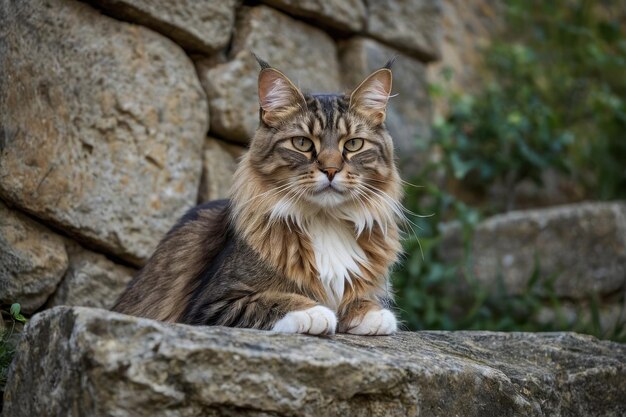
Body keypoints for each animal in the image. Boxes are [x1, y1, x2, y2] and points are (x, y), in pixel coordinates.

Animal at [111, 56, 404, 334]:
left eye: (353, 145)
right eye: (302, 143)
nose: (330, 170)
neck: (326, 221)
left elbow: (363, 300)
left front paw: (372, 314)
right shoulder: (212, 304)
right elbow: (273, 300)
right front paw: (314, 312)